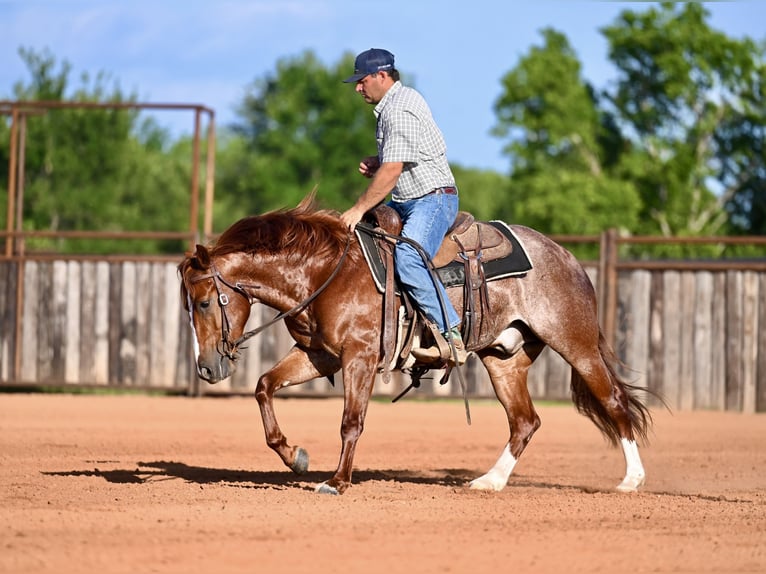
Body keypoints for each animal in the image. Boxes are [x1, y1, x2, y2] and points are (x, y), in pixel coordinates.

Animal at [178, 194, 653, 495]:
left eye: (204, 302)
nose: (207, 368)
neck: (325, 272)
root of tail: (566, 256)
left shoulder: (360, 357)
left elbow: (351, 422)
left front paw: (337, 482)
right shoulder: (320, 356)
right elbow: (264, 386)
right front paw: (294, 455)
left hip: (576, 344)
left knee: (613, 401)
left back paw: (631, 481)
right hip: (504, 358)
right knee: (525, 421)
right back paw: (490, 481)